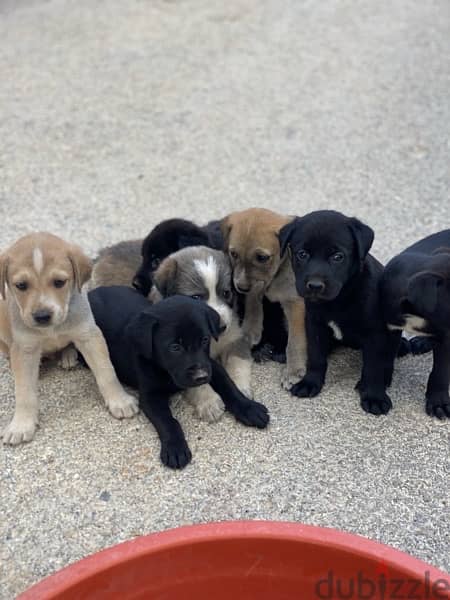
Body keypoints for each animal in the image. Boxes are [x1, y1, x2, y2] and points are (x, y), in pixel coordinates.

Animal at [0, 232, 138, 442]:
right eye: (21, 285)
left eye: (59, 282)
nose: (42, 316)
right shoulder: (24, 348)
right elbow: (23, 391)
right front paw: (21, 424)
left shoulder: (89, 335)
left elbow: (106, 372)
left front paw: (119, 401)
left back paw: (68, 355)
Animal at [89, 288, 268, 472]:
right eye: (175, 347)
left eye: (205, 339)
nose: (201, 377)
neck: (164, 369)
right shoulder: (150, 397)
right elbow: (168, 421)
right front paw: (175, 448)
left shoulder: (211, 366)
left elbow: (230, 388)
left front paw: (250, 408)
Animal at [221, 209, 306, 390]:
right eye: (234, 254)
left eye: (262, 257)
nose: (240, 287)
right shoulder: (256, 285)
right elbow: (253, 299)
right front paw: (251, 328)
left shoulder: (295, 303)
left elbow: (295, 341)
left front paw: (294, 371)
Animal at [280, 212, 402, 418]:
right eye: (302, 254)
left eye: (338, 257)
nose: (315, 286)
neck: (339, 299)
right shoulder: (314, 325)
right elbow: (316, 357)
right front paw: (310, 382)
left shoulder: (375, 334)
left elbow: (373, 367)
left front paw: (374, 397)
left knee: (388, 358)